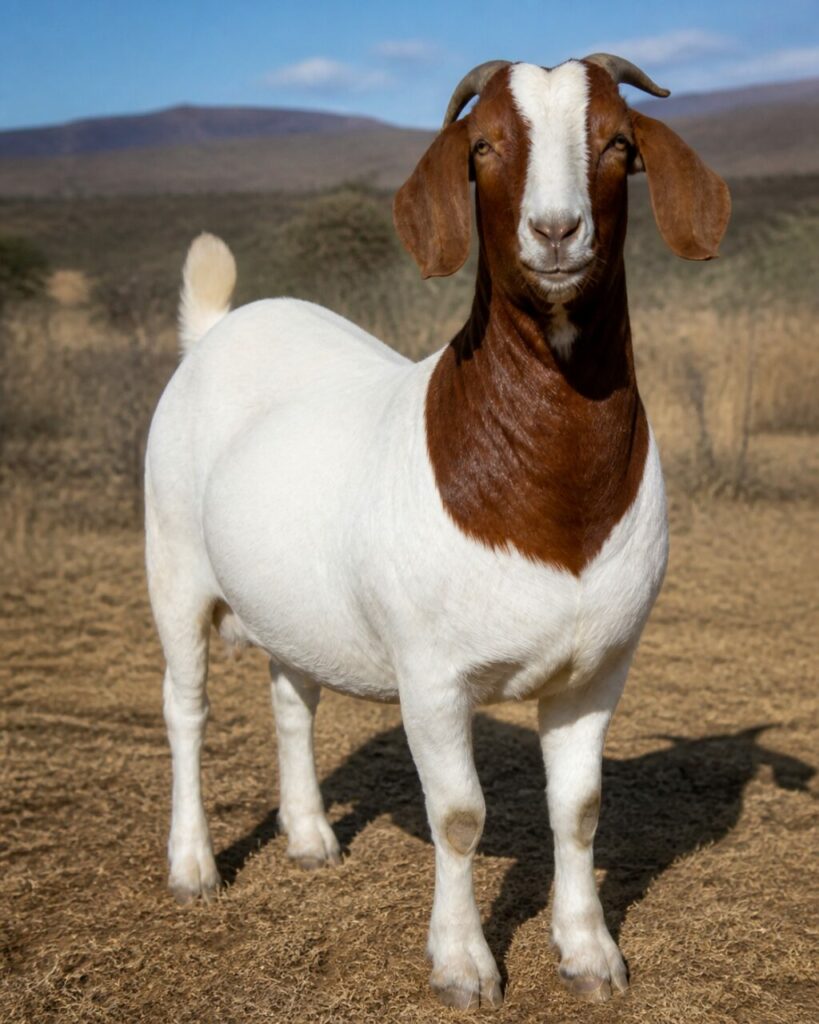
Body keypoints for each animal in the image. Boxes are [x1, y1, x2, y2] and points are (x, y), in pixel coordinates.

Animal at [145, 54, 730, 1011]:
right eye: (482, 146)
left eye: (617, 142)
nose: (555, 230)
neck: (549, 499)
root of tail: (217, 327)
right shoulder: (432, 675)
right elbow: (458, 818)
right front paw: (462, 966)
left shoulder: (597, 669)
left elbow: (578, 810)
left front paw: (588, 953)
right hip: (174, 568)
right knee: (185, 707)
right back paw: (193, 866)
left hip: (289, 599)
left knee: (292, 699)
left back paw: (309, 837)